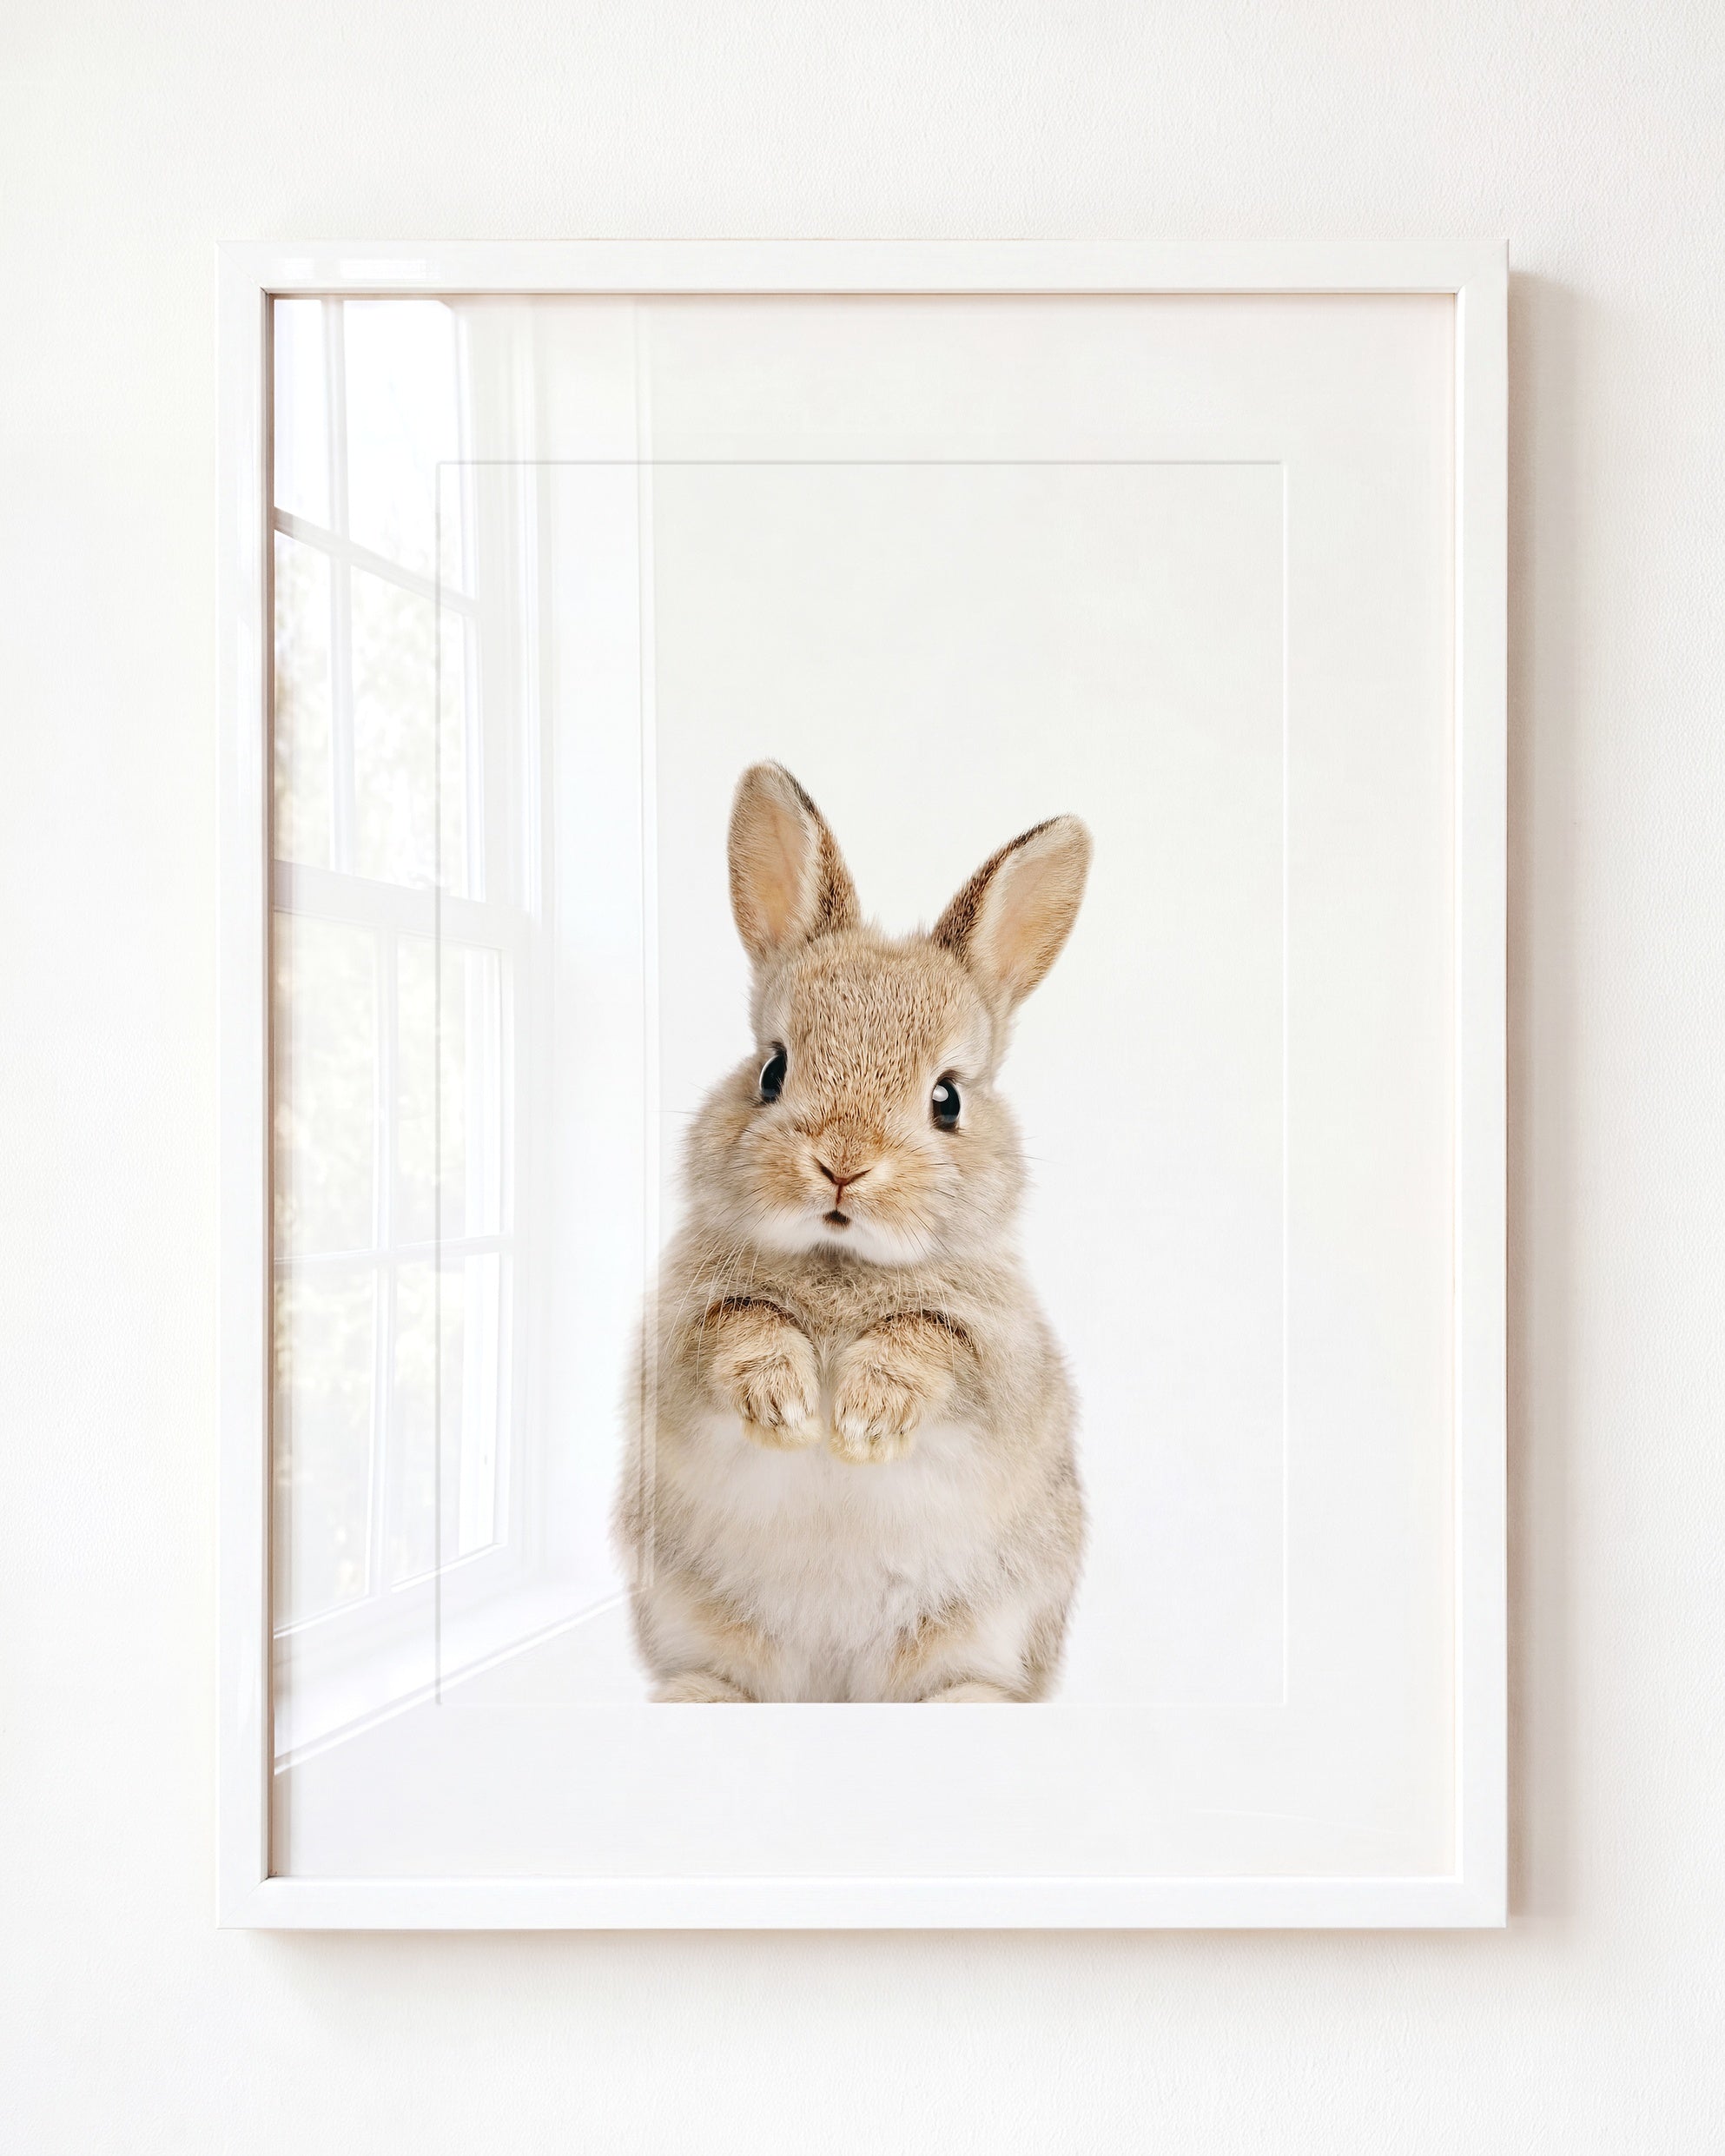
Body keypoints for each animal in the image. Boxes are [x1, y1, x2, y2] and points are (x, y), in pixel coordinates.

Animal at [616, 761, 1091, 1702]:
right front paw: (788, 1406)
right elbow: (741, 1327)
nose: (842, 1164)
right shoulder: (680, 1338)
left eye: (947, 1098)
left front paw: (864, 1420)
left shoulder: (1001, 1360)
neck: (840, 1262)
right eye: (772, 1069)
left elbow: (930, 1341)